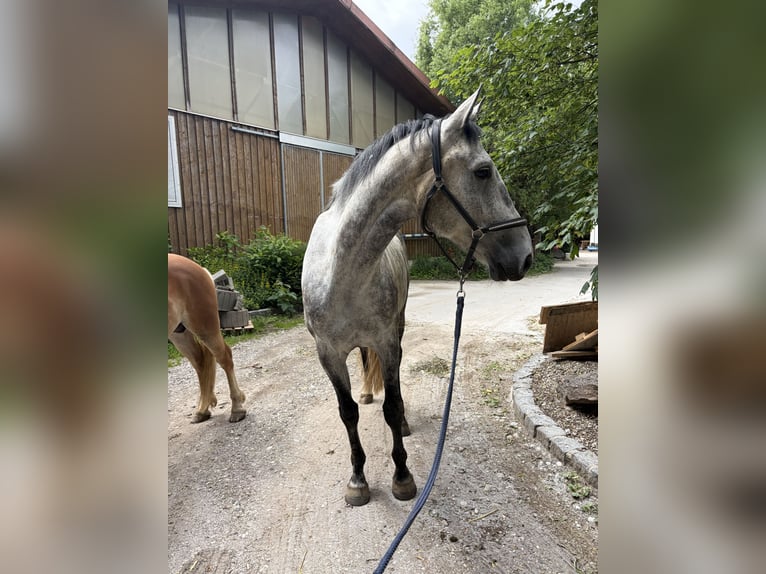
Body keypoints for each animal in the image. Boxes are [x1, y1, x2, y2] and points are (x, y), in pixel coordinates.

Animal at [168, 254, 246, 423]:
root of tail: (200, 269)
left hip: (204, 327)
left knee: (224, 358)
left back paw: (237, 409)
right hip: (179, 333)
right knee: (200, 362)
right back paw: (202, 410)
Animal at [301, 88, 534, 506]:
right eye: (483, 171)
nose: (525, 255)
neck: (340, 272)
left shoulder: (388, 342)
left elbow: (392, 407)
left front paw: (402, 476)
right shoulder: (328, 354)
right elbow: (347, 413)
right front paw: (358, 479)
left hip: (400, 325)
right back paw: (366, 393)